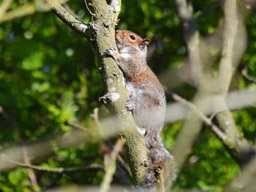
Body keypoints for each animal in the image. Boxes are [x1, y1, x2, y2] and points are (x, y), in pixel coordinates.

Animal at [104, 30, 176, 189]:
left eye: (132, 37)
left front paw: (114, 53)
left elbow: (129, 68)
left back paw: (132, 107)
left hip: (146, 101)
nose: (117, 31)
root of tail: (154, 130)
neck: (134, 53)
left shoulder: (136, 65)